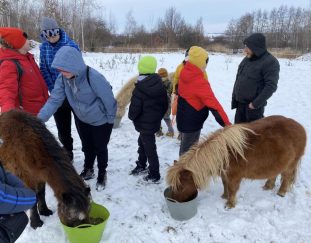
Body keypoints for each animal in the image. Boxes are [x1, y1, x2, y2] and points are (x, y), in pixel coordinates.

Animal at [167, 116, 308, 209]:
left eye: (180, 186)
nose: (172, 200)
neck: (224, 153)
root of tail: (300, 127)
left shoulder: (234, 177)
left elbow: (232, 189)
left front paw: (230, 204)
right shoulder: (225, 175)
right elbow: (225, 185)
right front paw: (224, 196)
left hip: (290, 165)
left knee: (286, 177)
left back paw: (281, 192)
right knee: (275, 174)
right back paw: (268, 186)